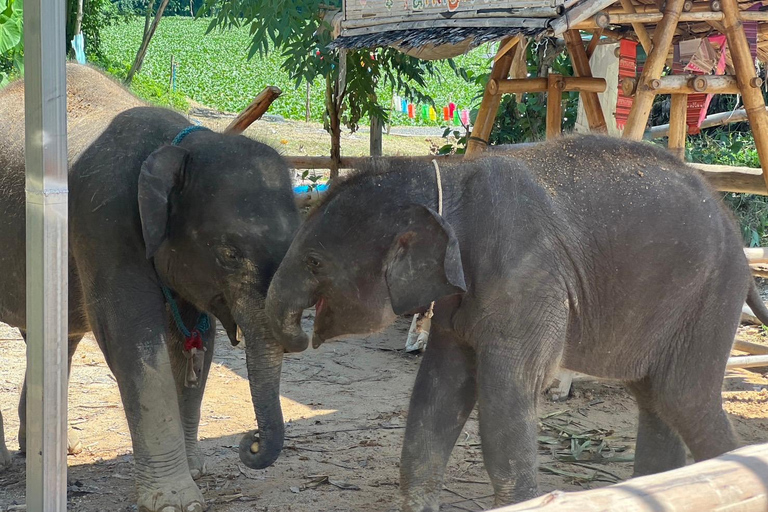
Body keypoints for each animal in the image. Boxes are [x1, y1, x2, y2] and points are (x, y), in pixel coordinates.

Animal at [0, 65, 300, 512]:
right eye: (229, 254)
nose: (250, 443)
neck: (181, 144)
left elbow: (195, 343)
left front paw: (196, 470)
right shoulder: (103, 222)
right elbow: (131, 337)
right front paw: (177, 500)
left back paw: (57, 449)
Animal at [266, 137, 768, 512]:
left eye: (314, 262)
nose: (298, 334)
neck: (450, 178)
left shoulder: (527, 281)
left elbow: (505, 399)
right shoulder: (460, 296)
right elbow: (438, 391)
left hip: (710, 295)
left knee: (683, 396)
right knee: (654, 396)